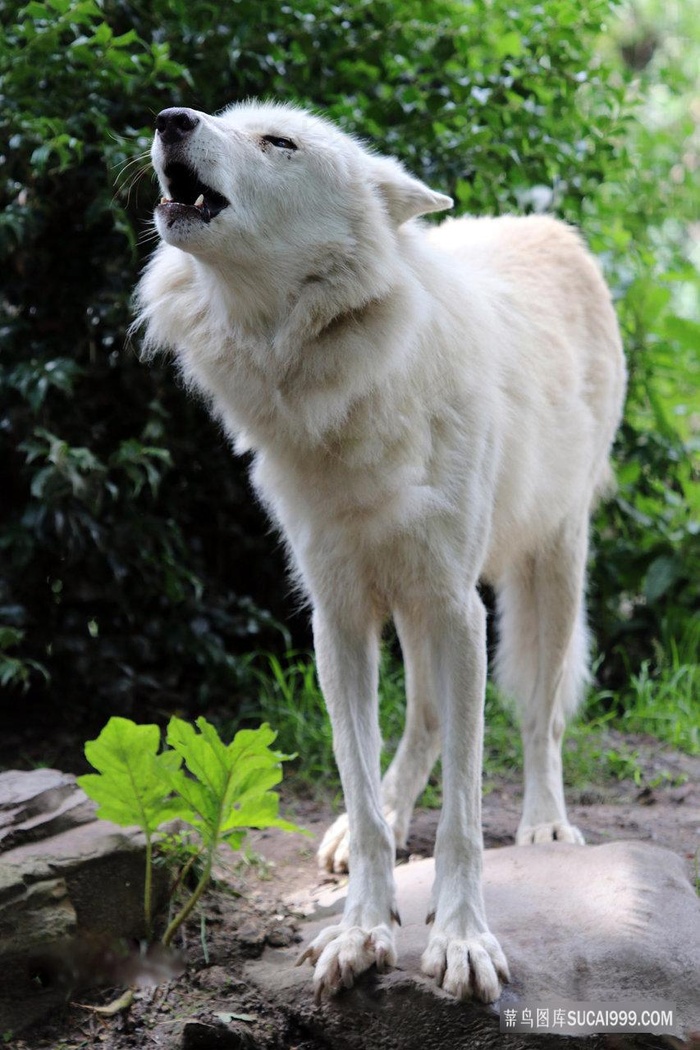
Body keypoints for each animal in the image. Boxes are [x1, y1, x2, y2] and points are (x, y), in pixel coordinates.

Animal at [134, 102, 625, 1003]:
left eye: (279, 142)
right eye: (223, 115)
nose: (170, 117)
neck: (338, 386)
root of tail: (547, 225)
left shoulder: (456, 607)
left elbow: (466, 813)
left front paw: (462, 941)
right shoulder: (340, 616)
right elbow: (362, 794)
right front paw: (362, 930)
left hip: (545, 570)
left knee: (540, 715)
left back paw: (546, 824)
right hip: (409, 600)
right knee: (424, 720)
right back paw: (399, 816)